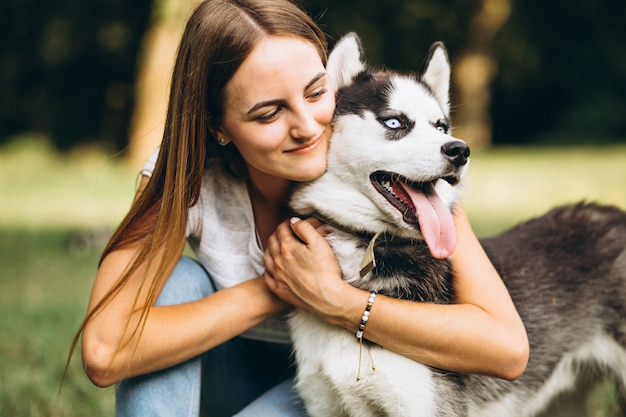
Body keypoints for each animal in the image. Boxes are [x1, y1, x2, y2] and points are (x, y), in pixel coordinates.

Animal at [286, 33, 624, 416]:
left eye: (441, 127)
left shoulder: (426, 406)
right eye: (394, 123)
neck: (367, 243)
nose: (460, 150)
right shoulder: (324, 403)